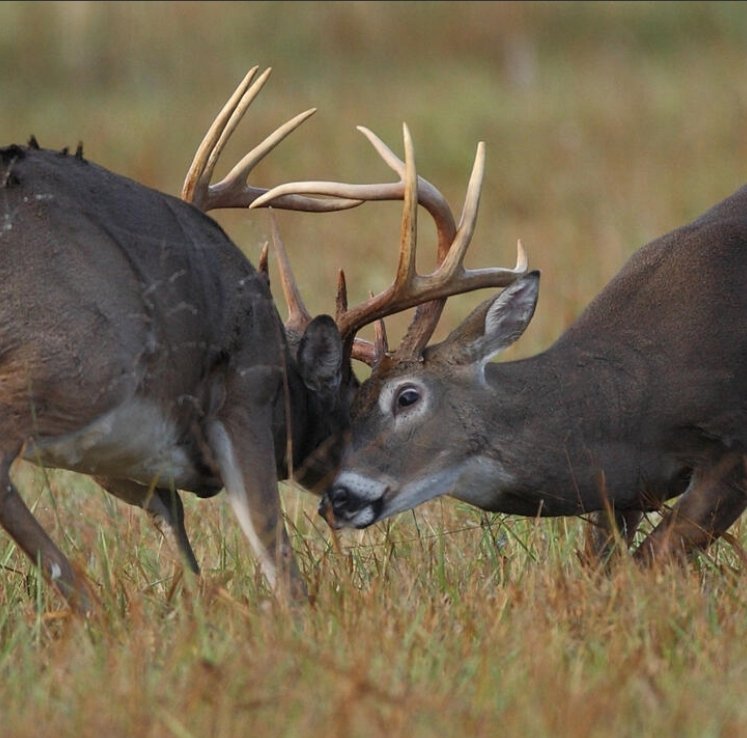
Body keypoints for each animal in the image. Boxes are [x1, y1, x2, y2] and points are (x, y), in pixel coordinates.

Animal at [0, 67, 525, 612]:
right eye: (354, 402)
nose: (342, 495)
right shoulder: (243, 397)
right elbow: (275, 549)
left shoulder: (126, 466)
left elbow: (180, 542)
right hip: (77, 362)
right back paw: (87, 604)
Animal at [279, 136, 747, 566]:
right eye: (349, 409)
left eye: (407, 396)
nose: (337, 499)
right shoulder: (625, 488)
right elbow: (602, 562)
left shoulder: (733, 449)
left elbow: (651, 560)